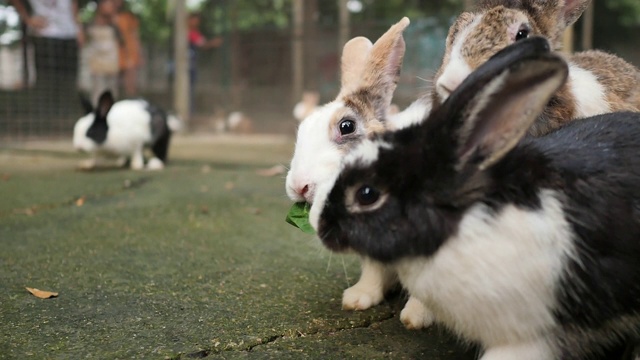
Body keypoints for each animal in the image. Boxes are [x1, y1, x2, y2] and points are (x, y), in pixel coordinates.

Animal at [284, 18, 436, 330]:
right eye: (302, 126)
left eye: (346, 126)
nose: (298, 186)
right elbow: (374, 270)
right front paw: (357, 299)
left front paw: (416, 317)